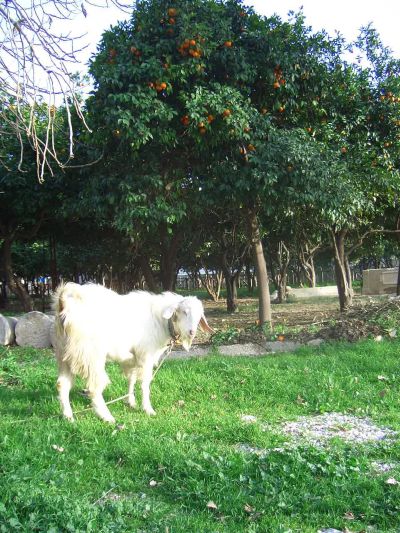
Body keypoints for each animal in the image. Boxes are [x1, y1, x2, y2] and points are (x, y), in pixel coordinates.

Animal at [54, 280, 214, 422]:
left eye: (199, 316)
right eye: (184, 312)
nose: (192, 332)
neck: (160, 320)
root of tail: (65, 304)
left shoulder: (133, 358)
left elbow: (131, 378)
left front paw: (131, 402)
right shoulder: (146, 355)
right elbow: (145, 383)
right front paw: (148, 409)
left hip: (64, 355)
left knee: (62, 384)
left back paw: (68, 416)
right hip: (90, 356)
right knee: (94, 387)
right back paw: (107, 417)